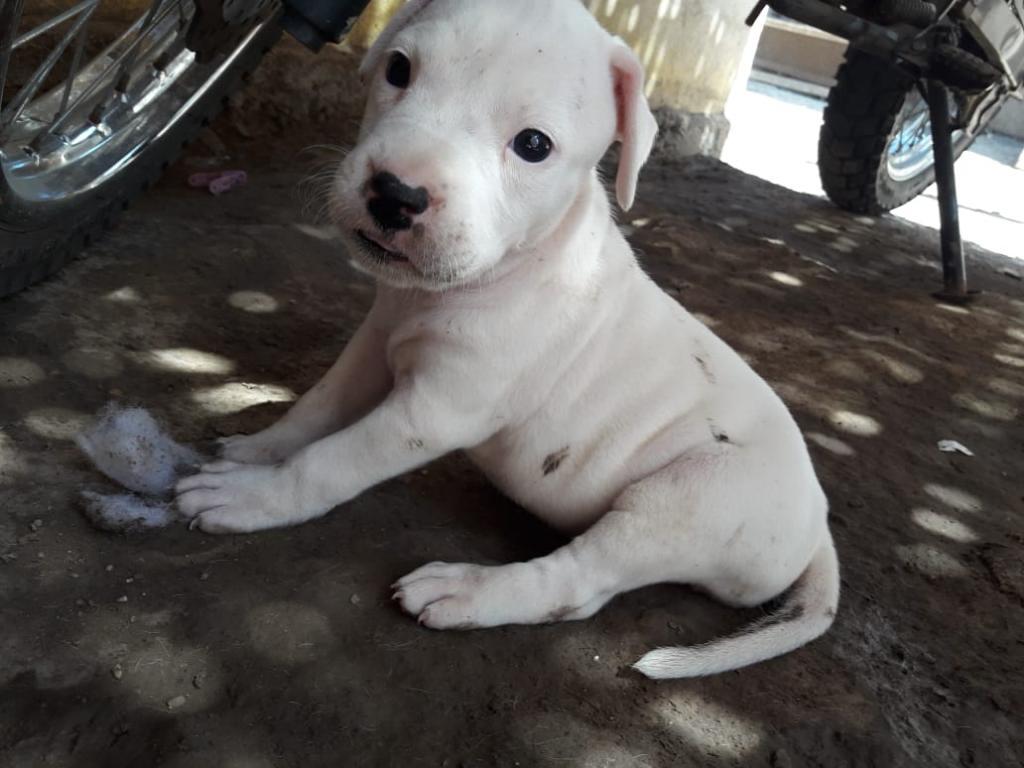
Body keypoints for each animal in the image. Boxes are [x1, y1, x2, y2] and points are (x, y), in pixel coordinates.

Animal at [178, 0, 839, 679]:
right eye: (398, 68)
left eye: (533, 146)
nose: (396, 193)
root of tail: (820, 531)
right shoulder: (373, 341)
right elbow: (316, 409)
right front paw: (256, 450)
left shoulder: (434, 411)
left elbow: (331, 460)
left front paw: (253, 496)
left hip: (686, 500)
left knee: (578, 583)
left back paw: (465, 591)